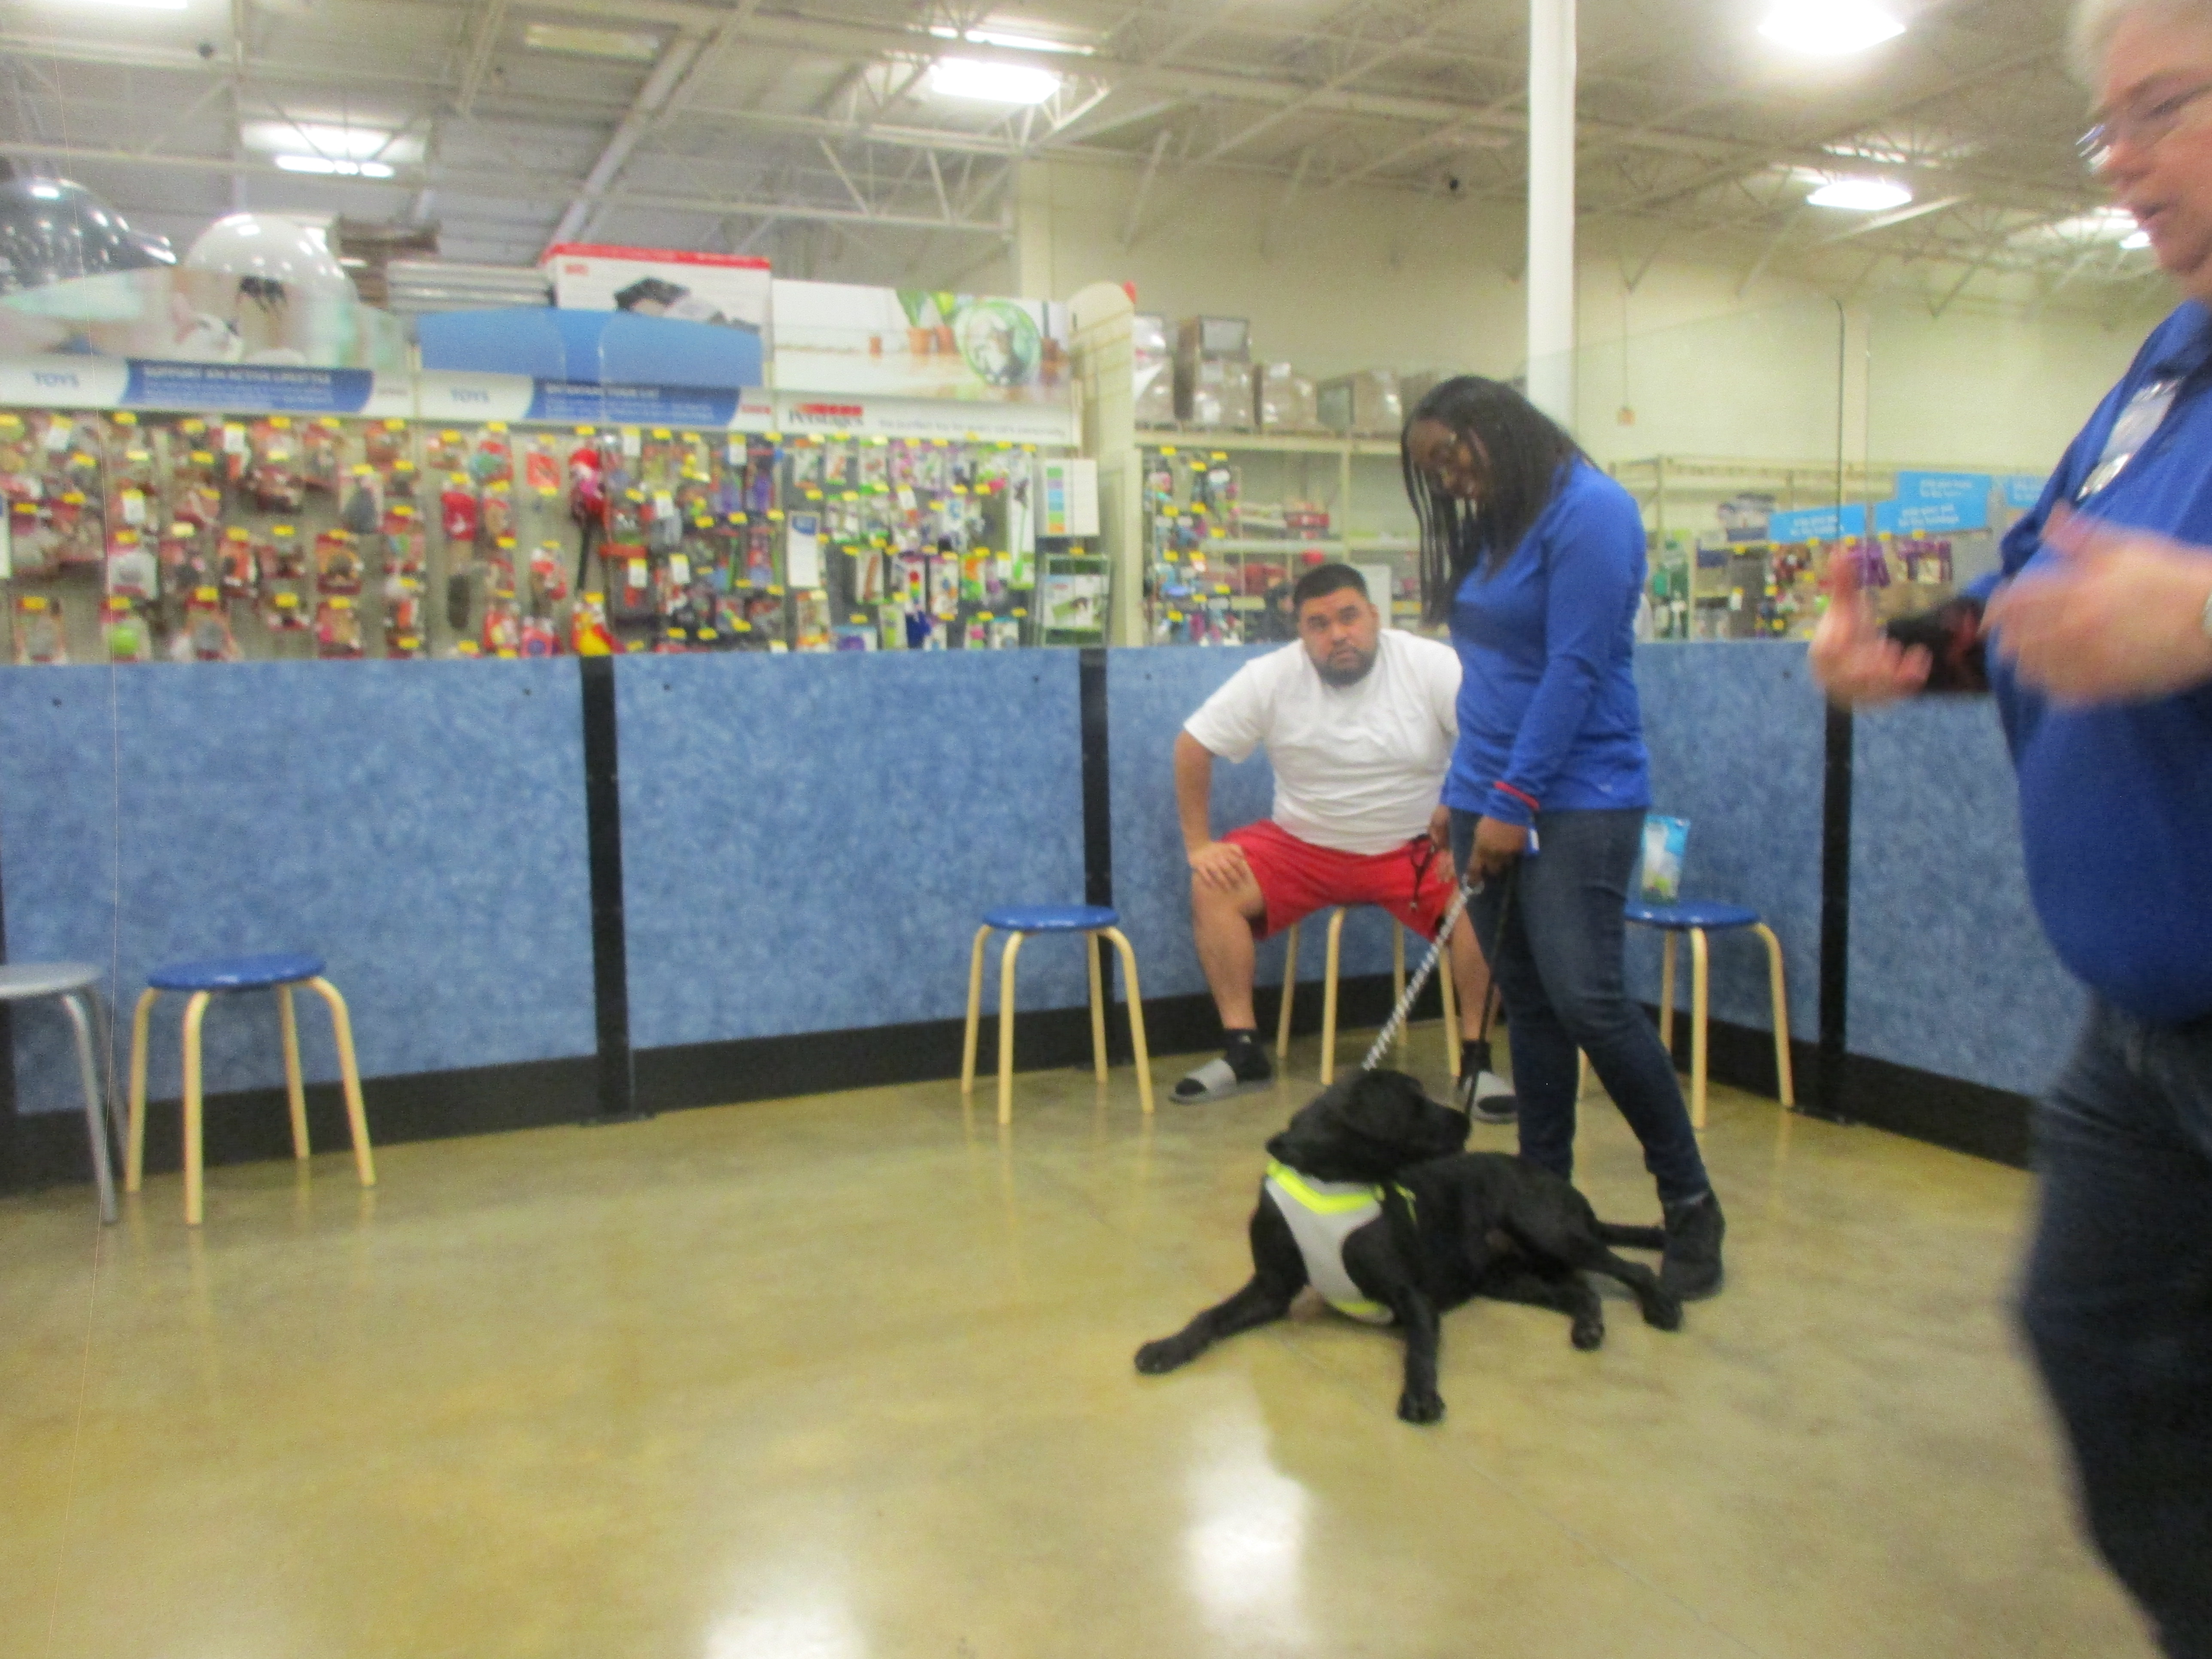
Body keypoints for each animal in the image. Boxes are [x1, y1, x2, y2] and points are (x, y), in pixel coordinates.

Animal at [1134, 1070, 1683, 1424]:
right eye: (1416, 1103)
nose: (1466, 1121)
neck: (1329, 1177)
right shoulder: (1270, 1287)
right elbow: (1209, 1317)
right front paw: (1168, 1347)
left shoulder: (1410, 1294)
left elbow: (1419, 1347)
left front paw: (1420, 1396)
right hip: (1507, 1278)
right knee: (1580, 1292)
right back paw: (1588, 1326)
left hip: (1547, 1228)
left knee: (1633, 1268)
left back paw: (1661, 1306)